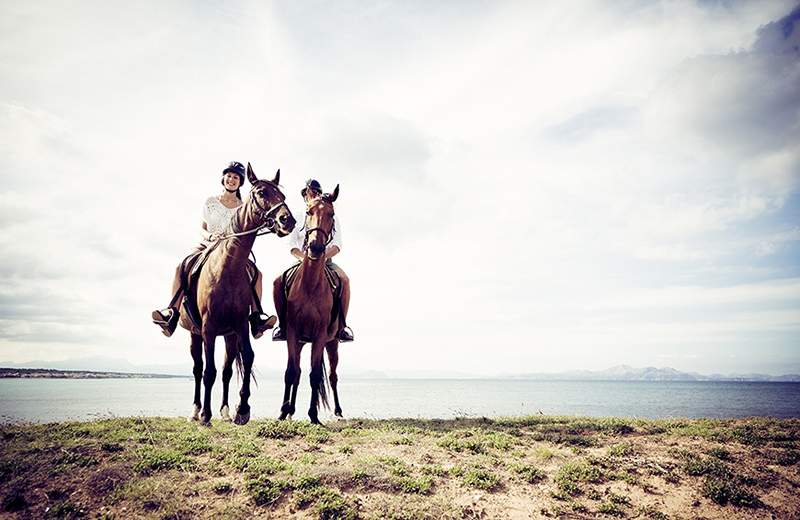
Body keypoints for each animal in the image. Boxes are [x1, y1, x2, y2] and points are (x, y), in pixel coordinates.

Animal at [180, 165, 296, 424]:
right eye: (262, 192)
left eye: (283, 196)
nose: (288, 220)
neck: (228, 269)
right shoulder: (208, 328)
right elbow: (208, 371)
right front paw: (206, 415)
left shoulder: (241, 325)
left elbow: (247, 358)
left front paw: (242, 409)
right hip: (195, 333)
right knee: (197, 368)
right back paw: (195, 411)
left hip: (229, 336)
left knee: (226, 371)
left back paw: (224, 411)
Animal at [278, 187, 344, 422]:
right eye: (308, 212)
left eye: (332, 214)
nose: (315, 248)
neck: (310, 285)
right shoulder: (292, 333)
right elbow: (290, 372)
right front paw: (283, 412)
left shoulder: (320, 335)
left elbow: (315, 375)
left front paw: (314, 416)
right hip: (300, 342)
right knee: (297, 373)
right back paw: (289, 410)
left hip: (332, 343)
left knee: (332, 376)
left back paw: (338, 411)